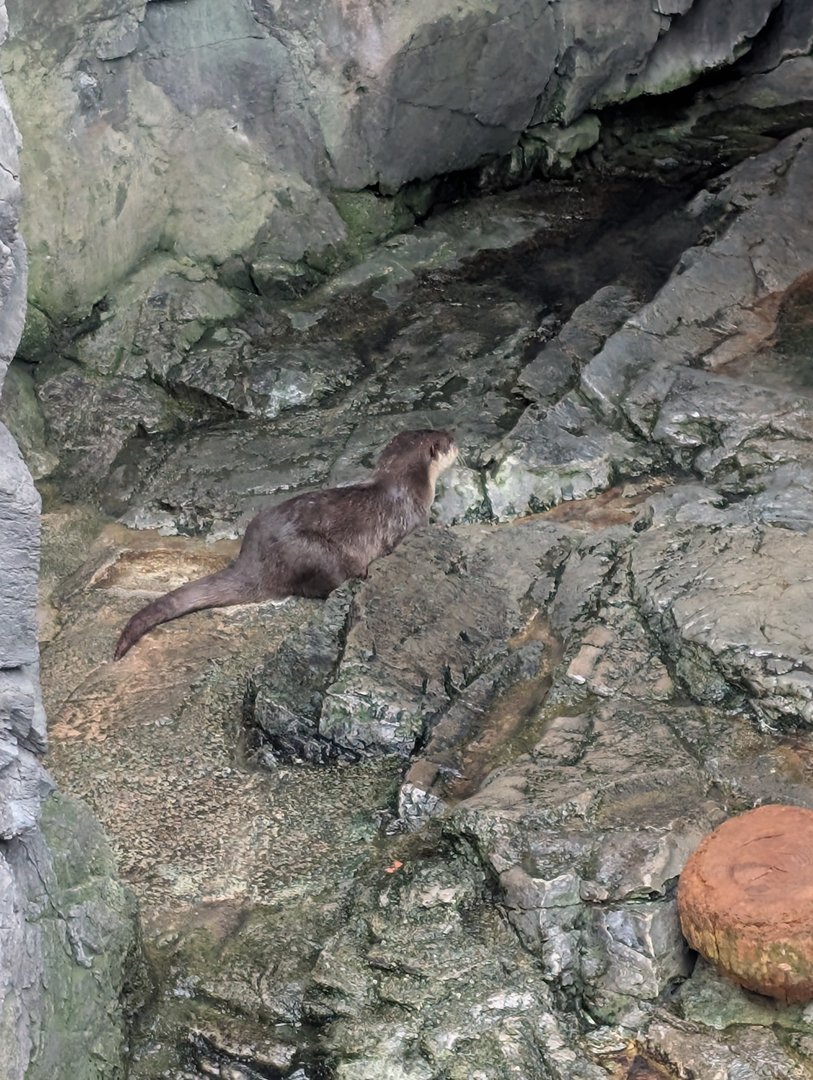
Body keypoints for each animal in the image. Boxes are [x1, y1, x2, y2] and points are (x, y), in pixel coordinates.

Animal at [112, 429, 457, 656]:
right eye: (448, 441)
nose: (455, 437)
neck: (404, 486)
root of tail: (253, 562)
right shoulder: (411, 518)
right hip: (315, 551)